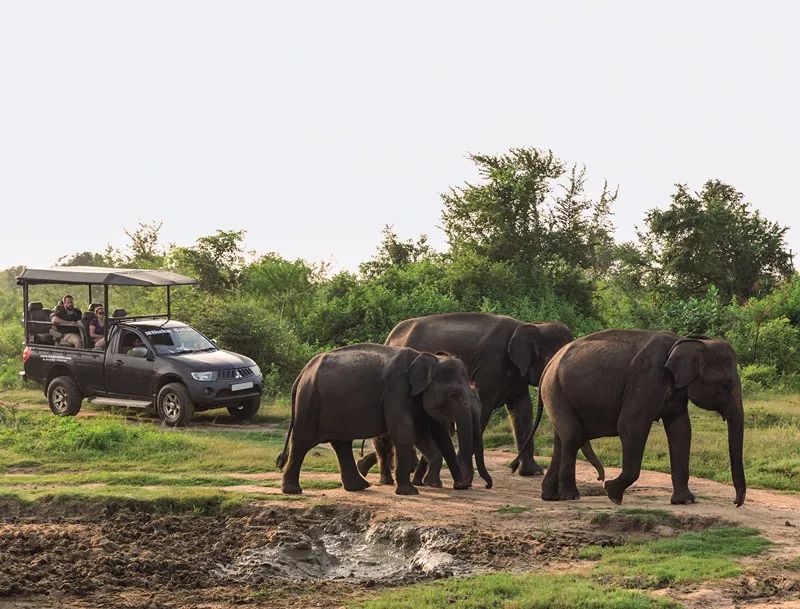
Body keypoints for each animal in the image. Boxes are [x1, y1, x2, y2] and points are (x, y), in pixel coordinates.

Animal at [276, 342, 482, 494]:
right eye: (453, 395)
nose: (462, 485)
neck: (428, 357)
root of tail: (302, 374)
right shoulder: (397, 390)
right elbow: (404, 432)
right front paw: (410, 492)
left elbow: (423, 434)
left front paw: (431, 483)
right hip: (310, 401)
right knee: (302, 442)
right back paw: (293, 490)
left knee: (341, 444)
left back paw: (359, 487)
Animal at [360, 314, 596, 484]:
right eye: (551, 358)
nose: (511, 465)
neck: (531, 325)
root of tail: (389, 337)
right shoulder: (491, 366)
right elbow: (484, 409)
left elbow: (522, 409)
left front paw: (532, 472)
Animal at [536, 330, 748, 506]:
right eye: (726, 385)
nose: (735, 502)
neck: (683, 341)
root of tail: (547, 366)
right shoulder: (647, 380)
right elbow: (630, 427)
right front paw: (612, 493)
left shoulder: (676, 393)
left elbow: (681, 430)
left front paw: (686, 501)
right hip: (555, 390)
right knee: (572, 436)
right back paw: (571, 496)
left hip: (557, 393)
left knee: (563, 439)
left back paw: (550, 496)